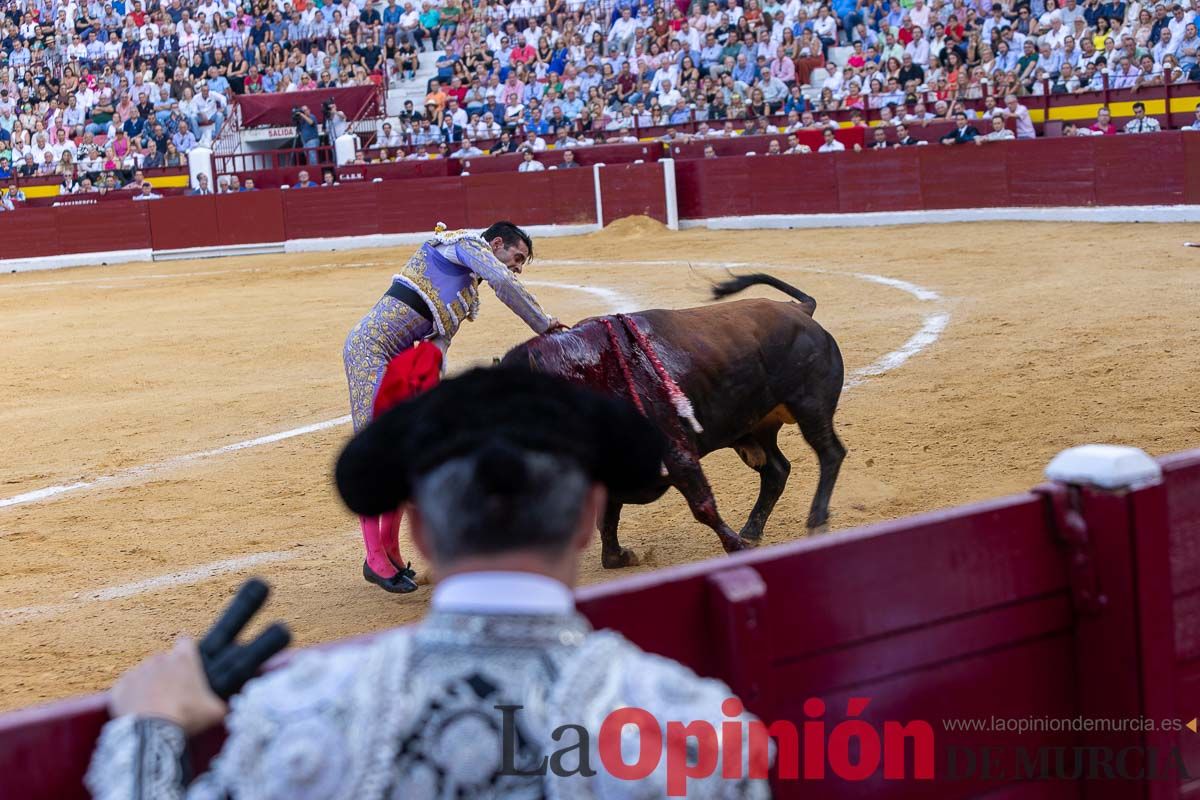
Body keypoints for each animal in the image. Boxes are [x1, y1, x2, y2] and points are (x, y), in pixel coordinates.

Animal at [501, 275, 849, 568]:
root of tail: (801, 311)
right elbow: (607, 515)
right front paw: (617, 557)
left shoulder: (677, 453)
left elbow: (702, 506)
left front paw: (737, 549)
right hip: (755, 428)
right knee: (776, 470)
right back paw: (752, 530)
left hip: (811, 407)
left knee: (830, 453)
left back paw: (815, 521)